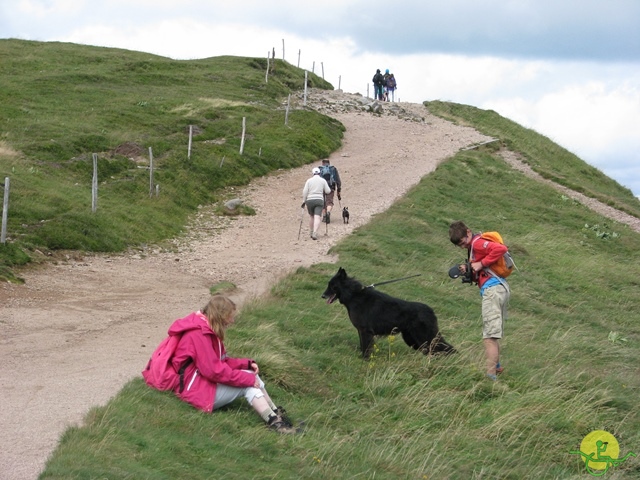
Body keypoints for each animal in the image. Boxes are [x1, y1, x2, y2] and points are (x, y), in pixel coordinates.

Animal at [320, 268, 456, 358]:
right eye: (329, 285)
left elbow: (366, 346)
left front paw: (364, 359)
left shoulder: (365, 331)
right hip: (413, 339)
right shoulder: (361, 331)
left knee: (446, 348)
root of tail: (431, 311)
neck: (354, 295)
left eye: (332, 286)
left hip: (424, 338)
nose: (322, 296)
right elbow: (363, 345)